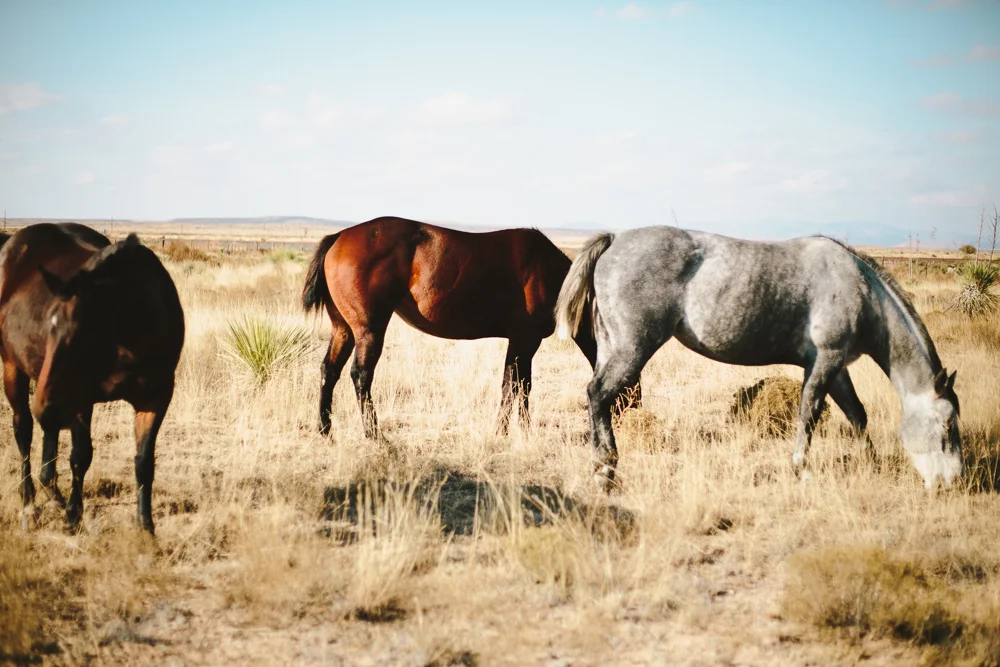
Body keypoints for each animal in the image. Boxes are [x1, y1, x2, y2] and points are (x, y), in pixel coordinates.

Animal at [0, 223, 185, 533]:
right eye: (49, 326)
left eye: (83, 335)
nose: (42, 405)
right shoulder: (80, 399)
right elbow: (80, 457)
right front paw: (74, 518)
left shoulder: (157, 397)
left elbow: (144, 461)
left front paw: (145, 526)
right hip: (14, 368)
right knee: (23, 429)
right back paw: (30, 506)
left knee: (47, 433)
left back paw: (52, 492)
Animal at [302, 216, 622, 438]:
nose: (621, 418)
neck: (552, 275)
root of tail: (339, 236)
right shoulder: (525, 339)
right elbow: (517, 387)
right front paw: (513, 432)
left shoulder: (521, 342)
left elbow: (516, 386)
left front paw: (512, 431)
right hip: (369, 330)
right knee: (361, 376)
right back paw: (374, 435)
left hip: (343, 329)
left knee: (329, 371)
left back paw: (325, 430)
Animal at [556, 226, 962, 491]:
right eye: (947, 427)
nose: (952, 482)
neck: (860, 288)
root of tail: (615, 241)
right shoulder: (825, 361)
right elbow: (809, 412)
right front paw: (800, 469)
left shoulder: (837, 367)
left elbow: (857, 415)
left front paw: (871, 464)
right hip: (632, 349)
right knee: (598, 395)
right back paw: (605, 470)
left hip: (612, 347)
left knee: (596, 397)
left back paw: (600, 468)